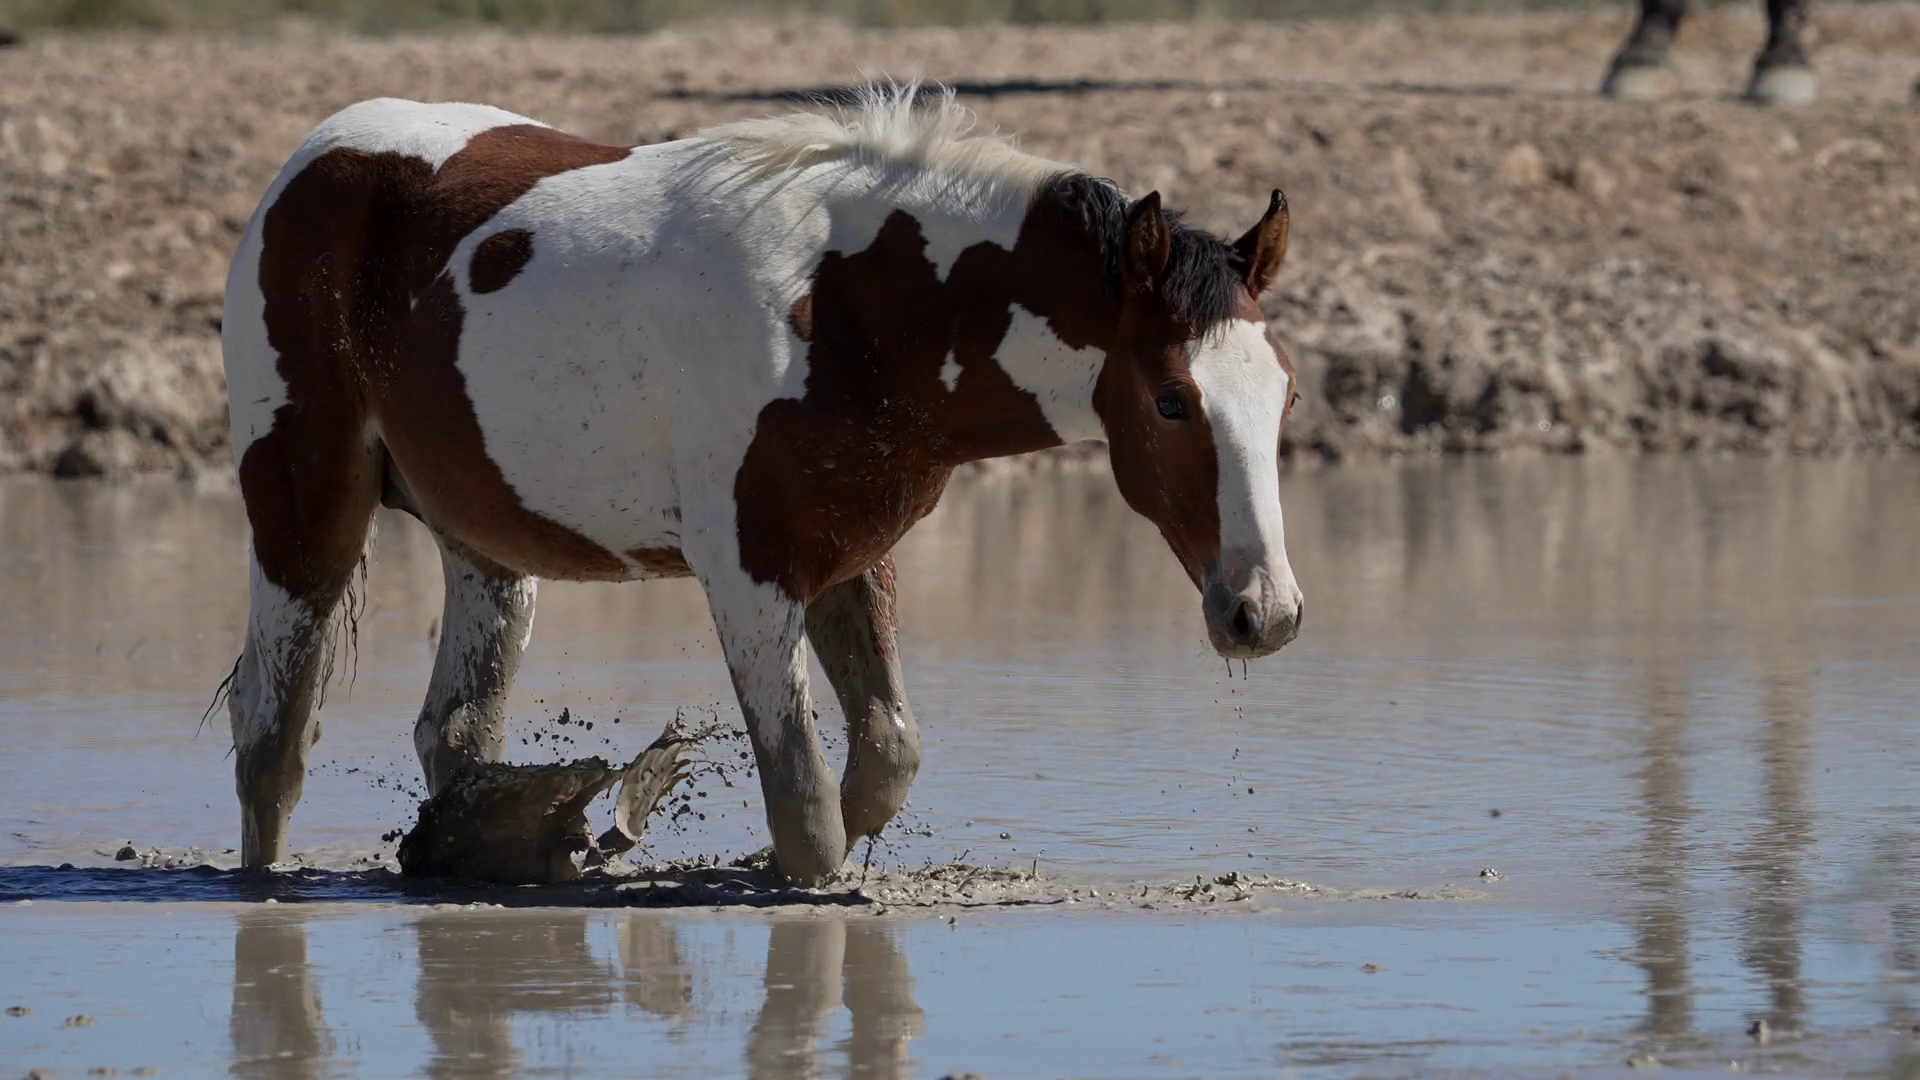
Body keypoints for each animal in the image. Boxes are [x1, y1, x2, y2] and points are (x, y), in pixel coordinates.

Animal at [220, 86, 1305, 886]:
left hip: (490, 551)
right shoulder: (748, 574)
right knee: (272, 737)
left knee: (452, 732)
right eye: (1171, 400)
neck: (852, 309)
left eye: (1285, 391)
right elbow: (806, 803)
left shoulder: (849, 555)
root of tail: (308, 163)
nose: (1265, 613)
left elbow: (885, 758)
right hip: (304, 510)